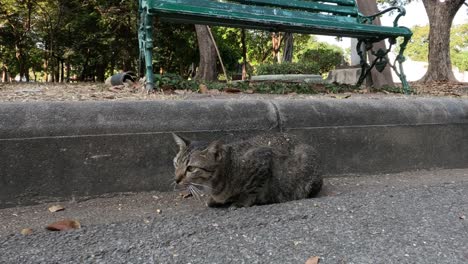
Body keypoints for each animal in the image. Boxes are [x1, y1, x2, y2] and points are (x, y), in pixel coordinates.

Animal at [172, 133, 322, 207]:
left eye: (191, 168)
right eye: (176, 164)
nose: (176, 179)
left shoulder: (262, 160)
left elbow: (252, 189)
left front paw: (242, 202)